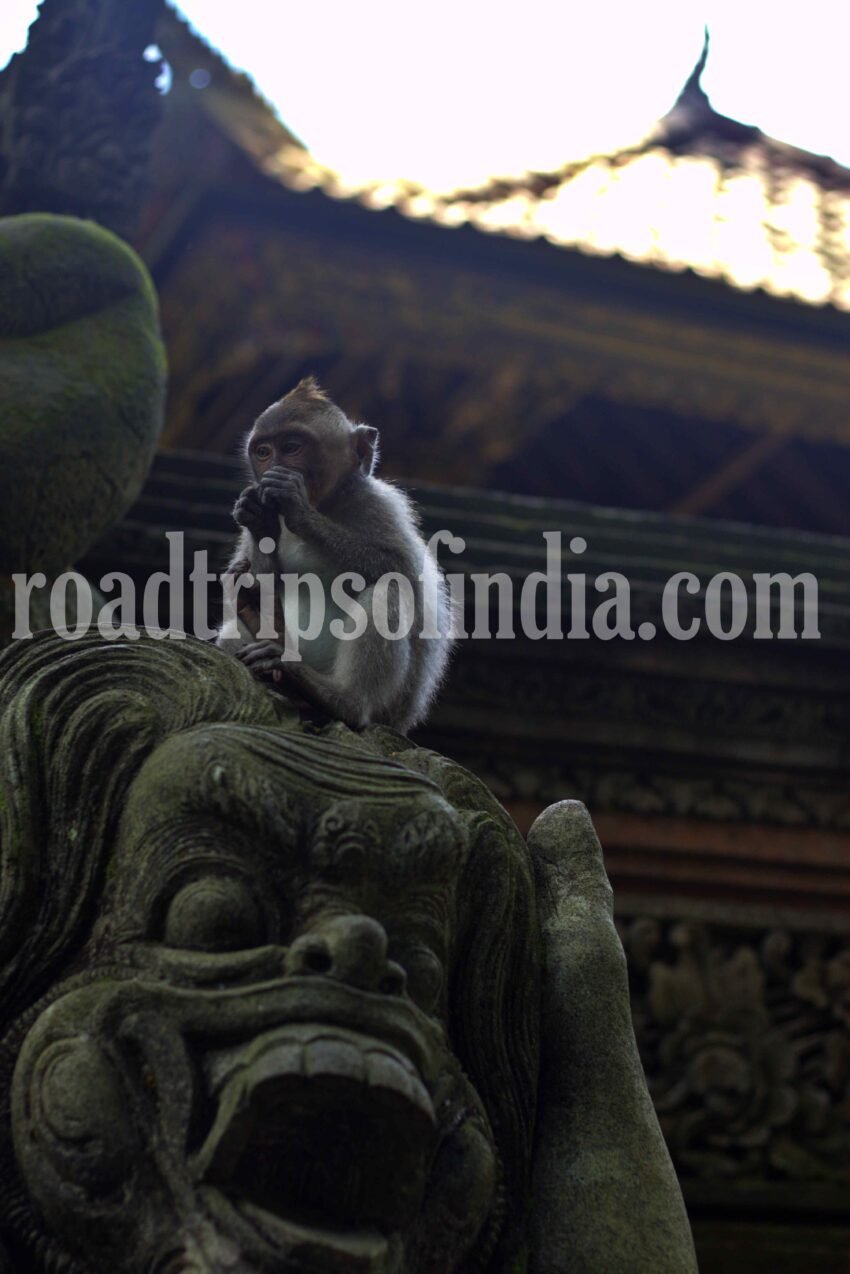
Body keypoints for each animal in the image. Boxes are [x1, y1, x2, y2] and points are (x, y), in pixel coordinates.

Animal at [216, 378, 455, 733]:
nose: (272, 467)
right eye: (263, 452)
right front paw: (260, 523)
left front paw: (298, 508)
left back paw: (341, 700)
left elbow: (402, 569)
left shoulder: (379, 505)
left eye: (291, 447)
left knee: (388, 588)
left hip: (395, 707)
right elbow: (251, 575)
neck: (327, 504)